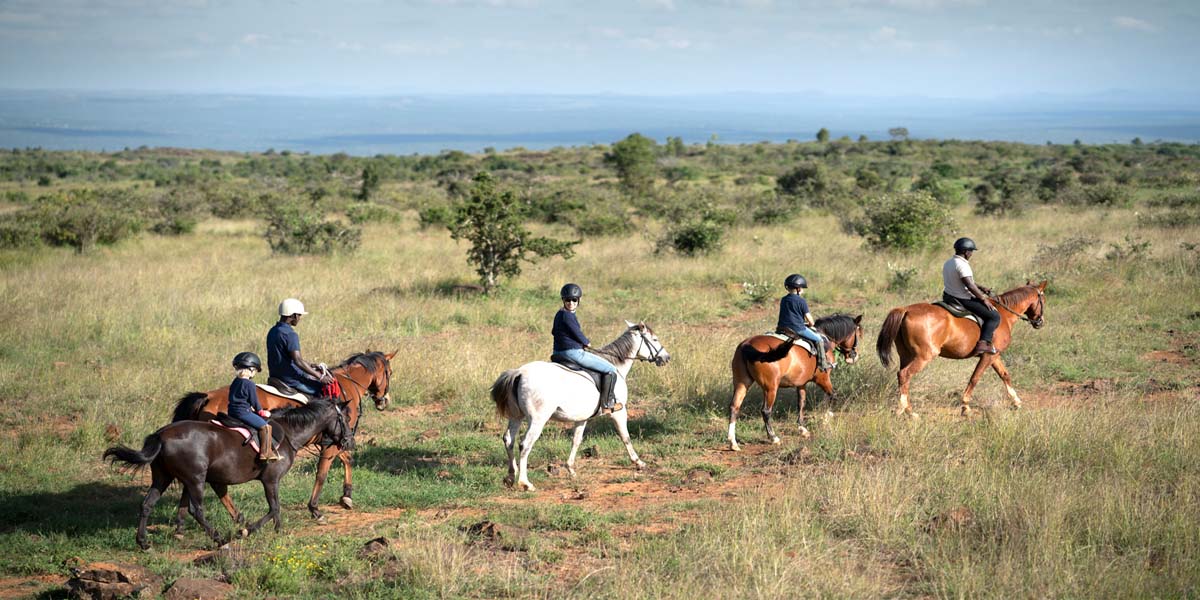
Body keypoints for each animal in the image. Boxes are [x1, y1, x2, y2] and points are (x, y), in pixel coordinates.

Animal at [103, 398, 350, 549]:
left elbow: (274, 509)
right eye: (345, 419)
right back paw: (219, 539)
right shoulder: (270, 480)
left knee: (147, 504)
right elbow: (274, 508)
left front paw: (275, 531)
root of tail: (161, 435)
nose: (348, 441)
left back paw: (143, 542)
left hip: (164, 478)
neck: (289, 433)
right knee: (196, 509)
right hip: (195, 479)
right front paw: (250, 530)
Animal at [170, 350, 393, 523]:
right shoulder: (332, 441)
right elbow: (322, 472)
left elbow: (347, 459)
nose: (384, 401)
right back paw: (236, 518)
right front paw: (315, 508)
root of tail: (207, 396)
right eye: (389, 373)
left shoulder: (337, 439)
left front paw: (346, 496)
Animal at [492, 321, 672, 489]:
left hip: (516, 416)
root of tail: (519, 373)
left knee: (509, 440)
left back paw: (510, 477)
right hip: (537, 420)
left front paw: (571, 469)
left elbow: (576, 441)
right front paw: (638, 462)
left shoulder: (582, 418)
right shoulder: (619, 412)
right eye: (654, 339)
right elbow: (625, 437)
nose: (666, 358)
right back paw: (525, 483)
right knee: (525, 444)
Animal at [720, 314, 864, 451]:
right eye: (858, 334)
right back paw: (774, 438)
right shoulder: (822, 379)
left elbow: (801, 403)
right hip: (770, 388)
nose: (854, 356)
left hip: (741, 383)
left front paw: (802, 429)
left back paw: (733, 443)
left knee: (734, 407)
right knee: (766, 411)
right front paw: (826, 418)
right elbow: (833, 395)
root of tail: (746, 344)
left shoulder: (801, 384)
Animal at [878, 280, 1046, 417]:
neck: (1004, 314)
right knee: (905, 375)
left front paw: (1016, 401)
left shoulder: (994, 355)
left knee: (903, 377)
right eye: (1043, 300)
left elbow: (1005, 375)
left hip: (906, 355)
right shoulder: (988, 356)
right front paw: (965, 407)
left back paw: (907, 410)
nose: (1040, 322)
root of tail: (906, 310)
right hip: (924, 356)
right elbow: (975, 378)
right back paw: (906, 410)